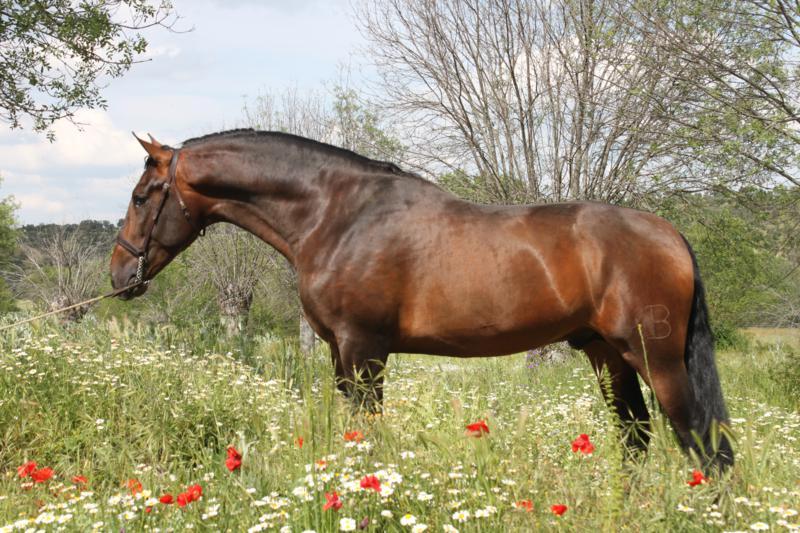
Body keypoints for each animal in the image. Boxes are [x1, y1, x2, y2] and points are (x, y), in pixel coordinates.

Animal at [110, 129, 733, 470]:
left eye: (142, 197)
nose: (120, 275)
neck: (338, 215)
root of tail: (670, 234)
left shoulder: (364, 349)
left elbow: (369, 432)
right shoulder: (340, 353)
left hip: (657, 359)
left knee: (702, 443)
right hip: (606, 354)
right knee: (636, 437)